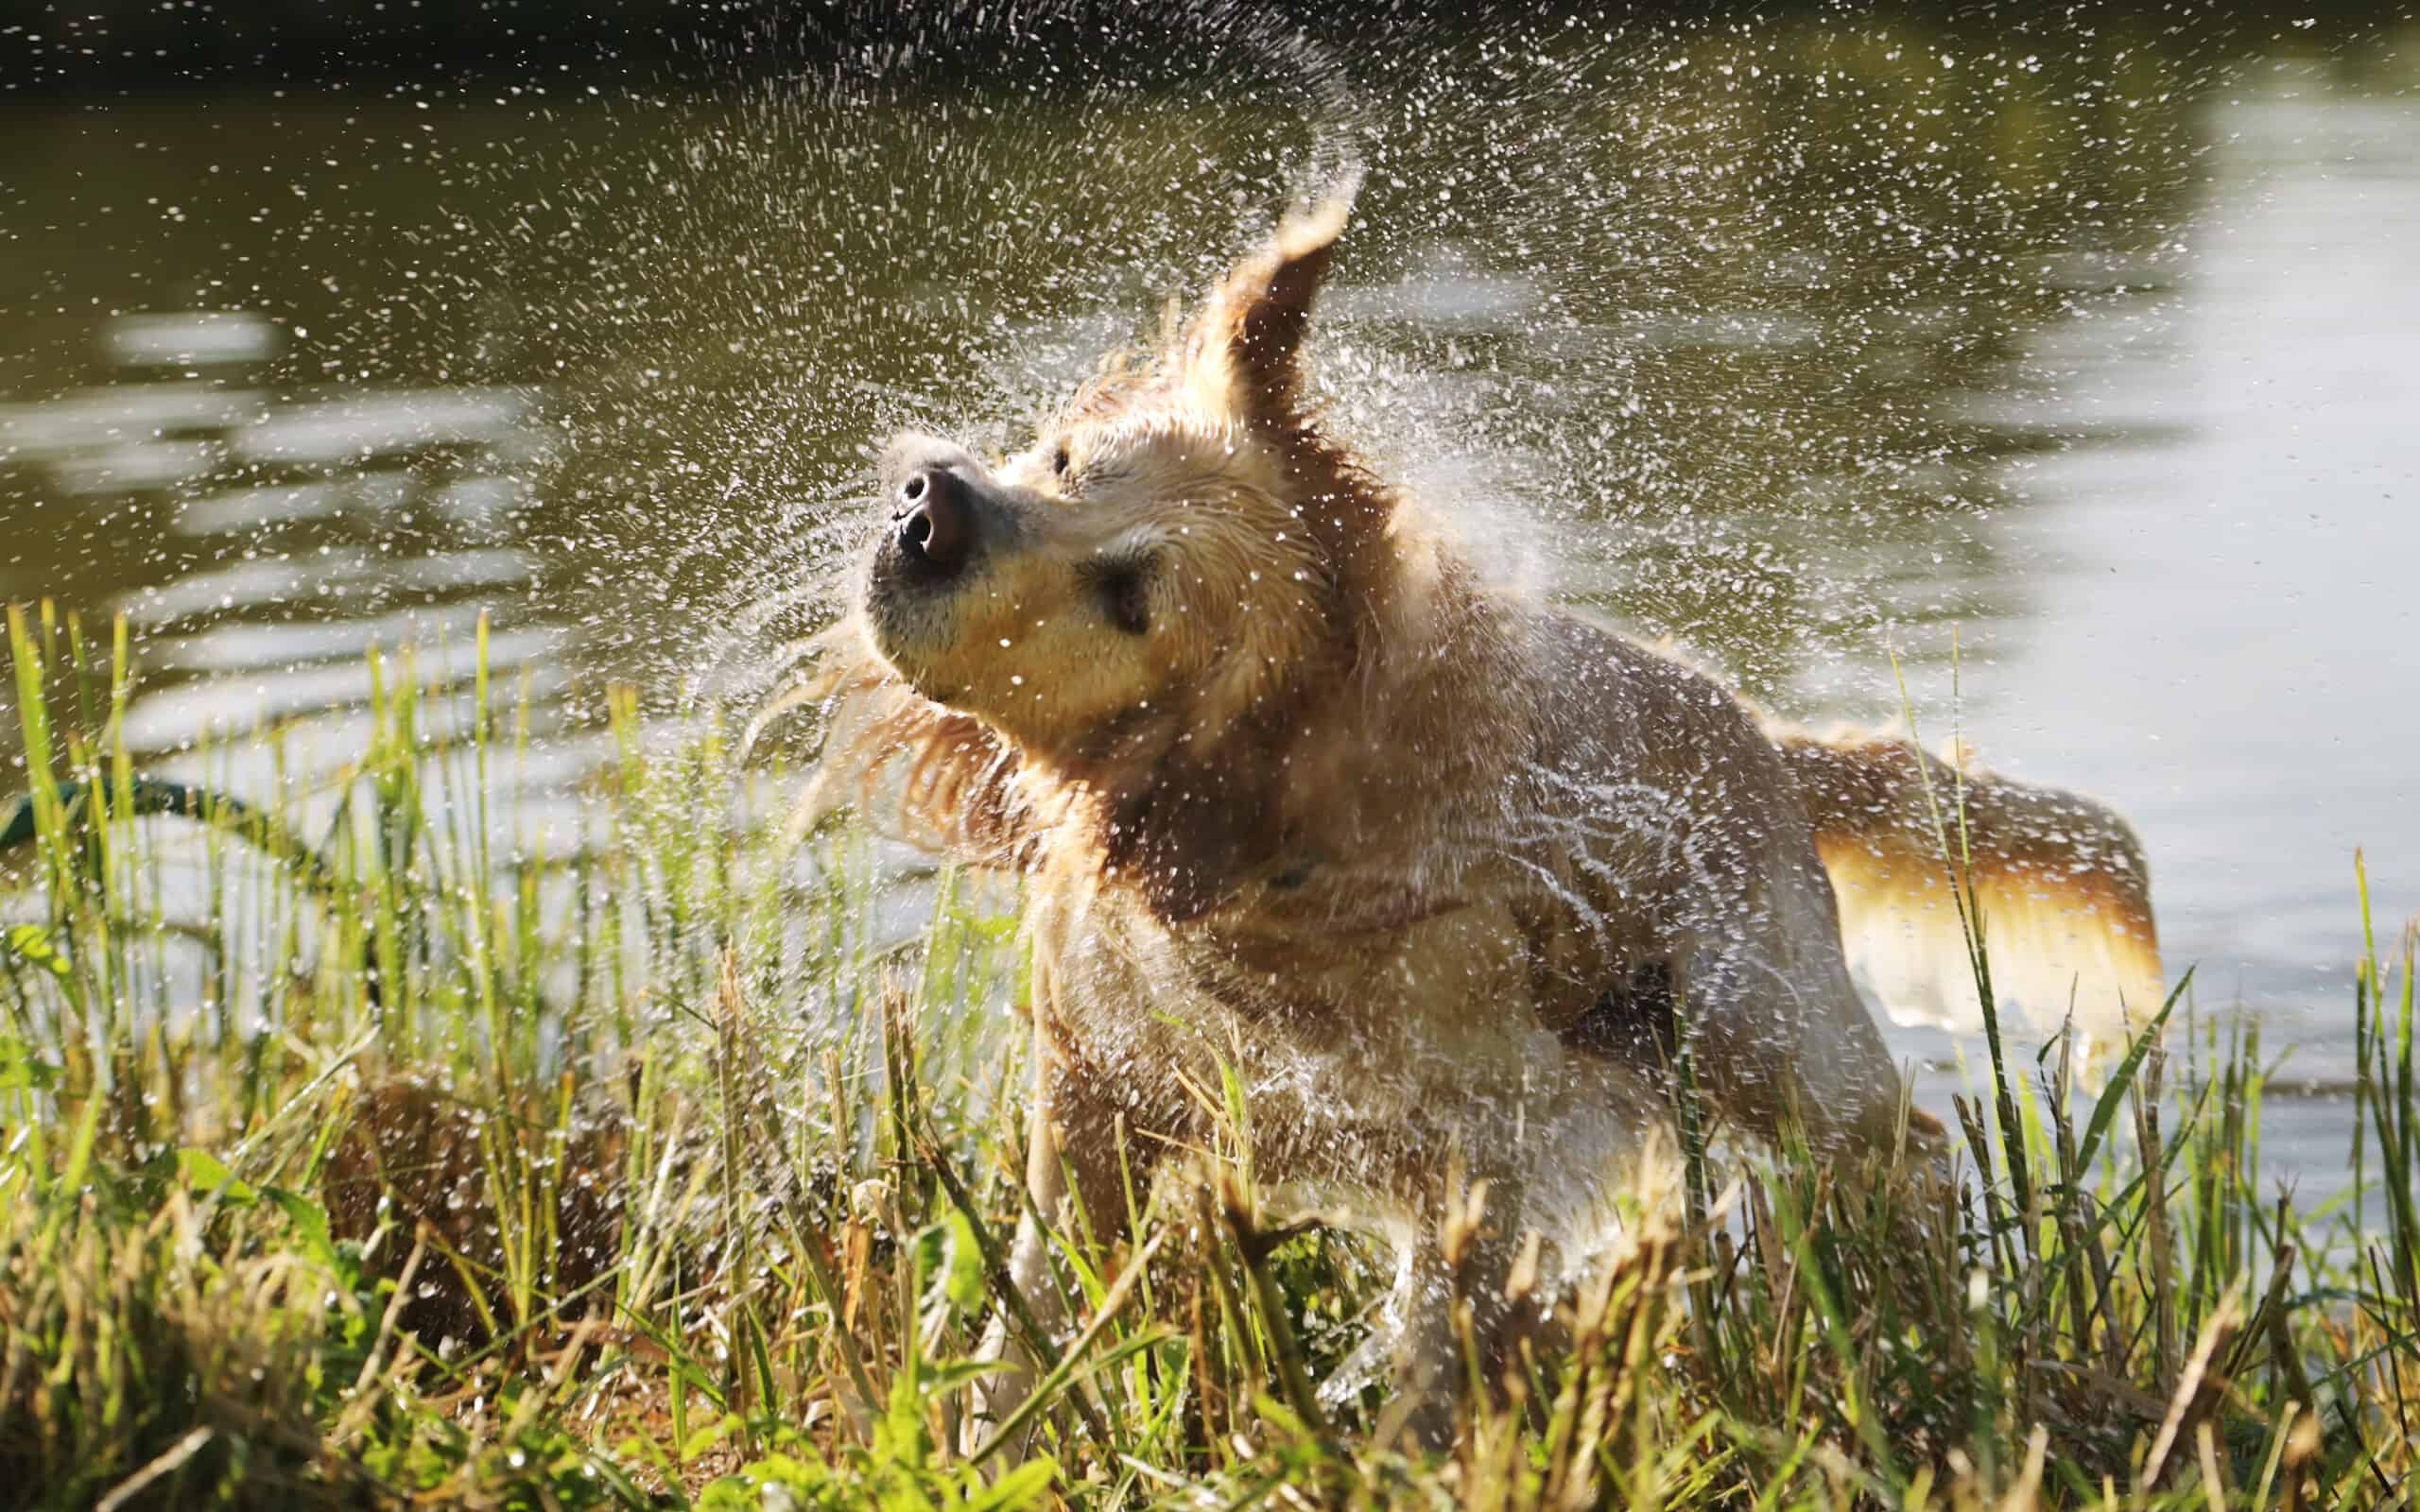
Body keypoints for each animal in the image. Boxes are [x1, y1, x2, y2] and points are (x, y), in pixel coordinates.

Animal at [803, 188, 2168, 1441]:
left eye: (1130, 597)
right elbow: (1027, 1318)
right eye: (1064, 462)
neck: (1257, 865)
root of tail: (1755, 727)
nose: (929, 508)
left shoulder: (1484, 1154)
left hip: (1766, 1029)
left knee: (1913, 1153)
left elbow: (1433, 1356)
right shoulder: (1090, 1098)